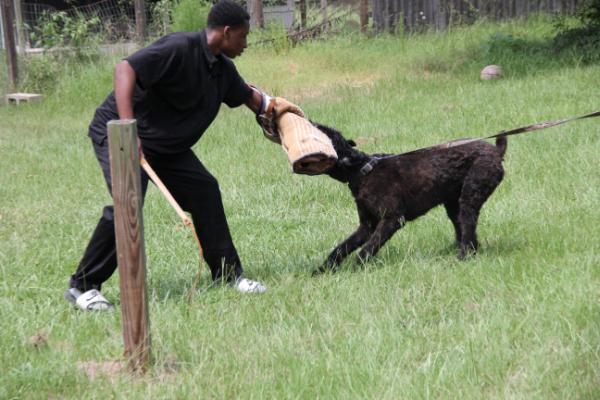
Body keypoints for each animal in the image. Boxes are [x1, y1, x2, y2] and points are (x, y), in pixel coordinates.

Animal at [314, 124, 506, 276]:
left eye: (323, 132)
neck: (362, 171)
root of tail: (496, 151)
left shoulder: (392, 219)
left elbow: (368, 248)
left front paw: (355, 268)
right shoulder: (366, 226)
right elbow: (342, 248)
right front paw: (323, 269)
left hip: (471, 195)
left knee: (468, 226)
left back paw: (464, 256)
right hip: (453, 203)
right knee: (463, 228)